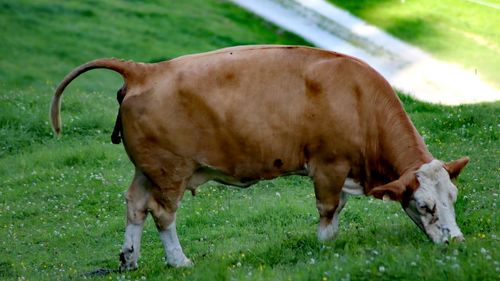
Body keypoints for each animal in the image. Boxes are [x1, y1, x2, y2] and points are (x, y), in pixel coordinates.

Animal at [50, 44, 468, 270]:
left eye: (452, 198)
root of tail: (144, 70)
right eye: (425, 205)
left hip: (148, 168)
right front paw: (324, 250)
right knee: (162, 213)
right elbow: (328, 213)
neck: (358, 99)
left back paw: (130, 259)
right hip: (170, 171)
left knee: (135, 205)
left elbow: (338, 210)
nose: (458, 242)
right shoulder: (328, 166)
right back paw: (178, 261)